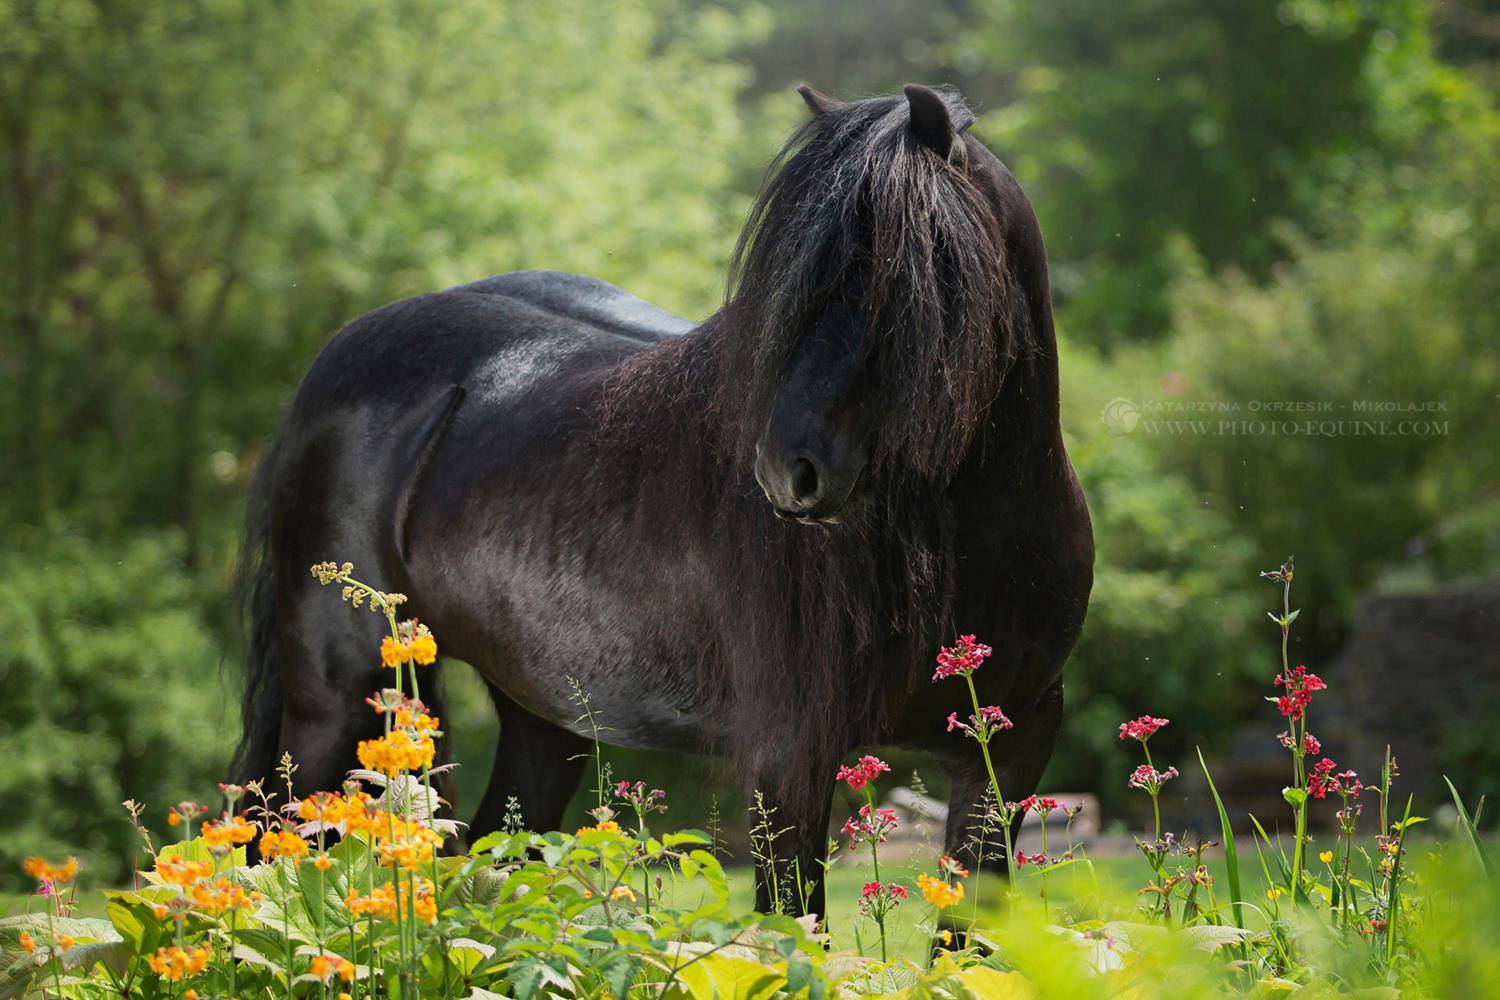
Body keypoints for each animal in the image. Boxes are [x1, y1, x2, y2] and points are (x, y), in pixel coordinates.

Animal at [240, 82, 1098, 917]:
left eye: (901, 262)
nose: (787, 472)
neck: (970, 535)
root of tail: (338, 359)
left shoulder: (1008, 752)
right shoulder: (788, 760)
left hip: (541, 716)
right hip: (338, 709)